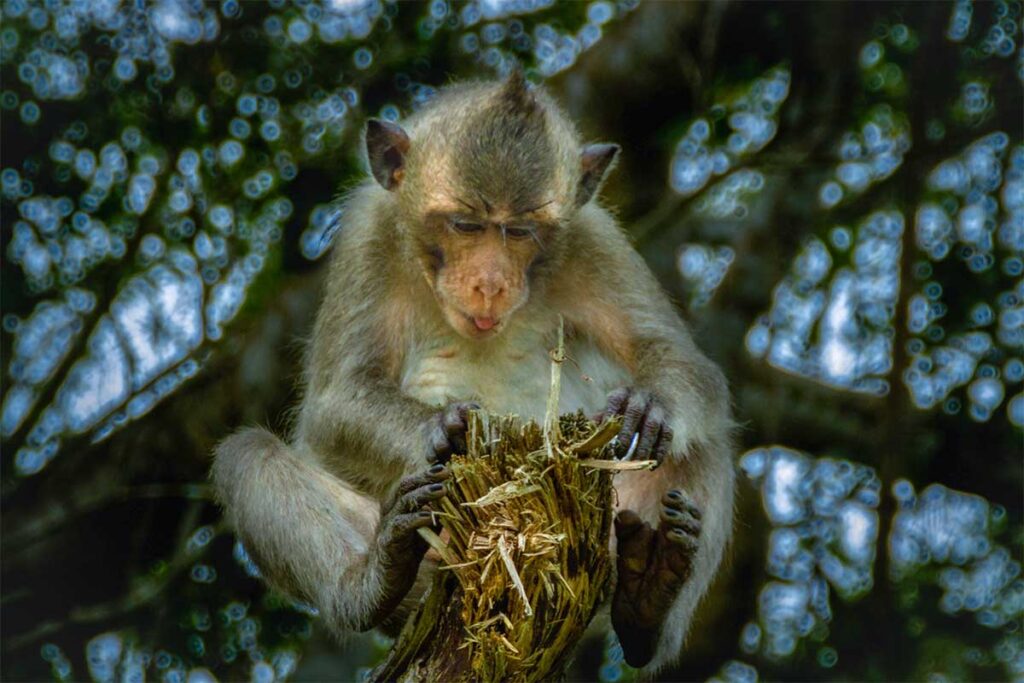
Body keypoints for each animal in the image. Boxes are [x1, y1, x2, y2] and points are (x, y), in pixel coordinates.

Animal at [211, 72, 735, 675]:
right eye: (465, 225)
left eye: (521, 232)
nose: (490, 283)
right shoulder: (370, 238)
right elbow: (334, 405)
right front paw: (442, 429)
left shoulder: (593, 239)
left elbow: (679, 361)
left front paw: (648, 407)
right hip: (432, 555)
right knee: (248, 456)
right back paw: (372, 580)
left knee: (702, 443)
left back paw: (650, 595)